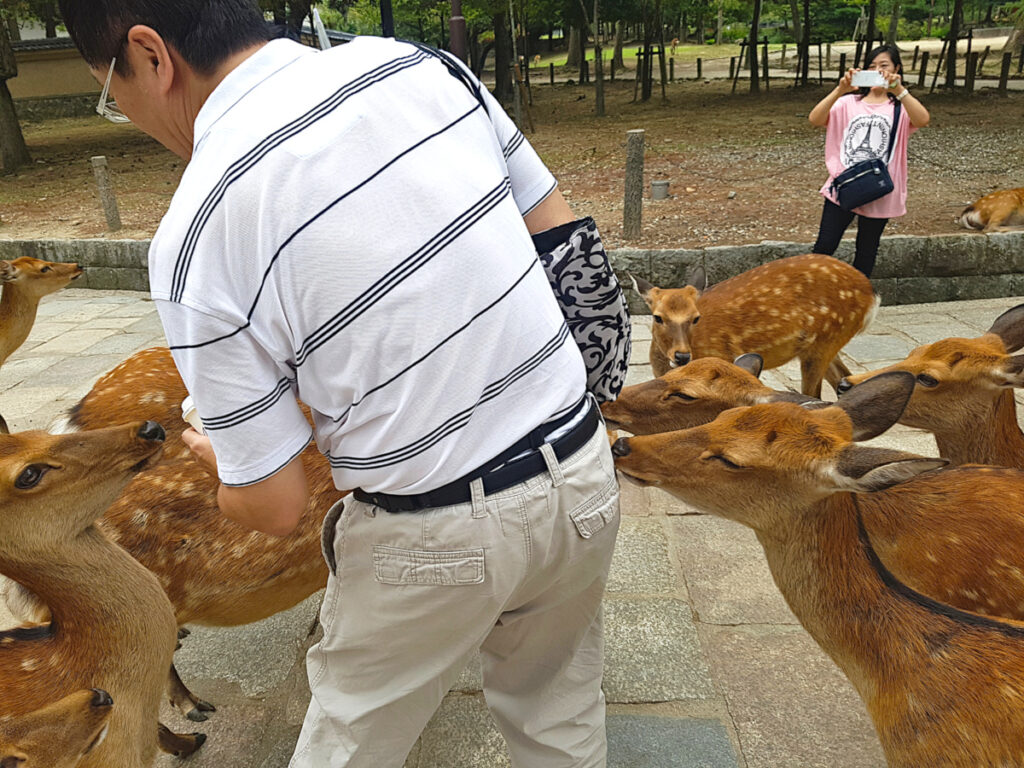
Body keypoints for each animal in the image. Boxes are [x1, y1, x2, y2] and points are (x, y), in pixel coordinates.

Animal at [631, 253, 879, 397]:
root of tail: (871, 293)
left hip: (825, 339)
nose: (682, 356)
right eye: (658, 317)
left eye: (696, 317)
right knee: (845, 380)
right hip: (821, 344)